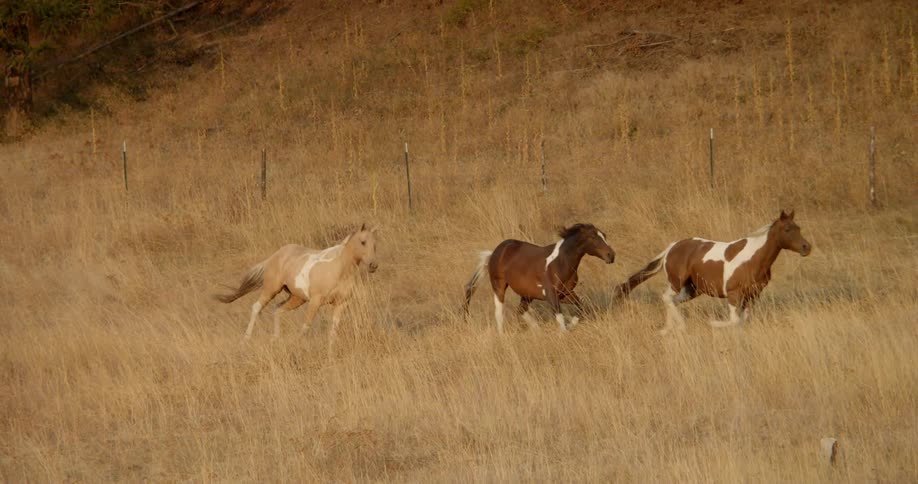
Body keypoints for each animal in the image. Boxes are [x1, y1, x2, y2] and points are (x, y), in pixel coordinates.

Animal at [215, 224, 379, 345]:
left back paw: (275, 338)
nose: (373, 265)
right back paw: (246, 339)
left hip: (297, 298)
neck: (339, 269)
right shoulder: (315, 301)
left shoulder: (341, 303)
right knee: (257, 307)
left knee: (277, 309)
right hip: (271, 289)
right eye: (363, 242)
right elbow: (306, 326)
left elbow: (333, 330)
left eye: (375, 245)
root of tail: (275, 256)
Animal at [463, 223, 616, 333]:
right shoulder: (551, 295)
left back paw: (537, 331)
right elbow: (560, 318)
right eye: (593, 238)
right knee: (499, 312)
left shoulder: (566, 293)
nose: (611, 255)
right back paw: (502, 336)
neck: (560, 262)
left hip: (527, 294)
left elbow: (581, 308)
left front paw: (570, 326)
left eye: (604, 235)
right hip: (499, 286)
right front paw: (564, 332)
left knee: (521, 310)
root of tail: (494, 252)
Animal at [613, 210, 811, 334]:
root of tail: (672, 247)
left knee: (672, 301)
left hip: (692, 289)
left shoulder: (752, 295)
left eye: (799, 228)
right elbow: (734, 320)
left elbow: (743, 320)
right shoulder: (733, 294)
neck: (753, 259)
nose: (806, 247)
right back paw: (679, 326)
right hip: (676, 282)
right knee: (666, 298)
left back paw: (668, 329)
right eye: (787, 229)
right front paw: (712, 324)